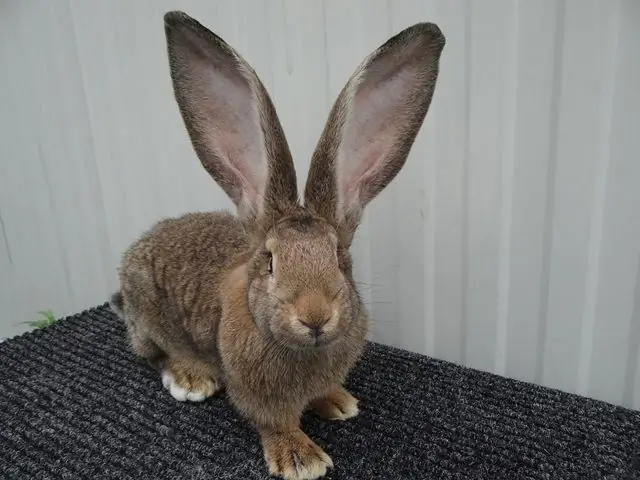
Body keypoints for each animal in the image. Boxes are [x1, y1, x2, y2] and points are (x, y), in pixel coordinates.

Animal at [111, 11, 444, 480]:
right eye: (269, 261)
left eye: (340, 259)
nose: (315, 316)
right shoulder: (259, 397)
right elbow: (275, 423)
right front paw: (300, 459)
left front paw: (338, 401)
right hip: (149, 315)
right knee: (153, 353)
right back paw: (191, 379)